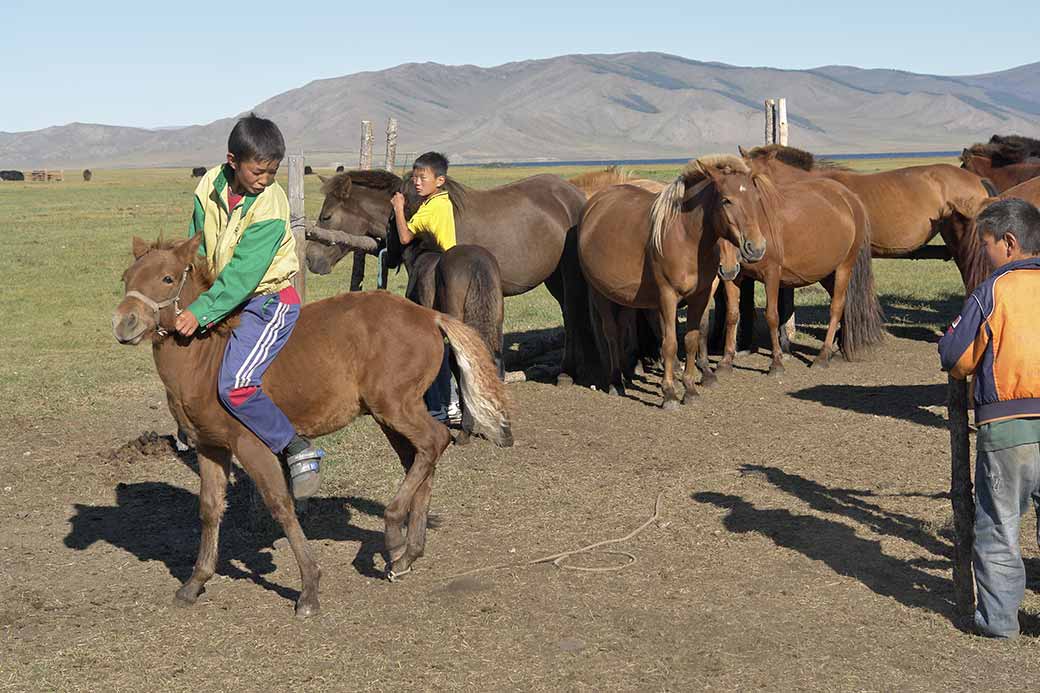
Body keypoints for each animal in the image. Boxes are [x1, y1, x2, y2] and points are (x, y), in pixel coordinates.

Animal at [304, 169, 595, 384]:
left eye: (326, 216)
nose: (310, 259)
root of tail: (574, 195)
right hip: (554, 278)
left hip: (569, 275)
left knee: (572, 314)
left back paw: (567, 373)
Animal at [578, 154, 768, 408]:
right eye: (726, 200)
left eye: (755, 198)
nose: (756, 248)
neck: (684, 236)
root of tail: (593, 206)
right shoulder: (667, 296)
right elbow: (669, 343)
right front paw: (669, 392)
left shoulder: (701, 295)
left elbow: (692, 338)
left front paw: (690, 388)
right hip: (600, 293)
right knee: (611, 332)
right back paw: (616, 382)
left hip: (625, 295)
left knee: (622, 328)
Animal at [716, 176, 885, 375]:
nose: (728, 268)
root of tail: (851, 198)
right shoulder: (734, 279)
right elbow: (732, 315)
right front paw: (726, 361)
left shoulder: (771, 275)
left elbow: (772, 316)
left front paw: (776, 363)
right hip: (828, 273)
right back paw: (838, 347)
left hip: (844, 266)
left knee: (836, 306)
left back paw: (823, 356)